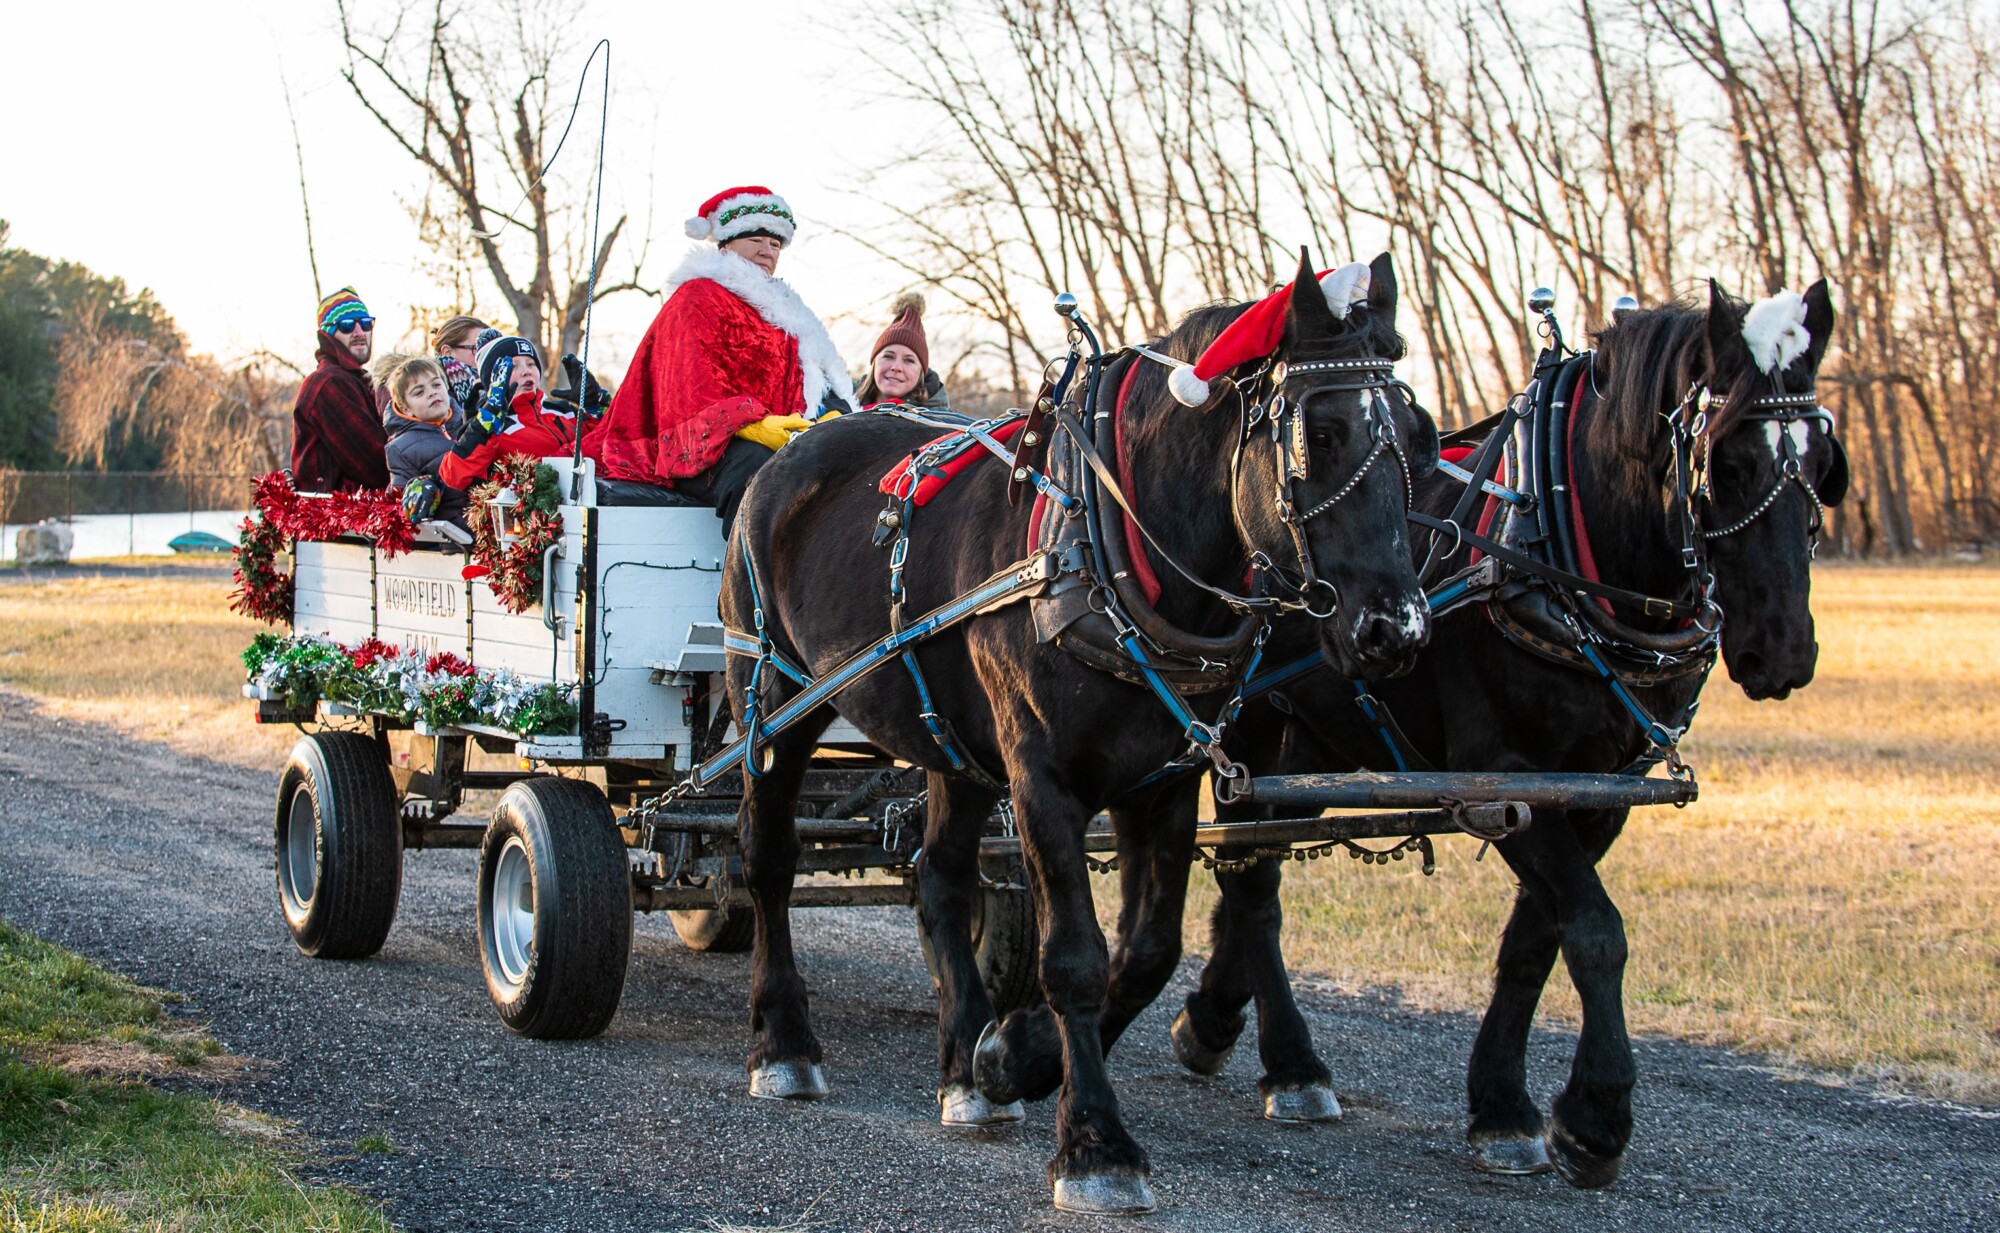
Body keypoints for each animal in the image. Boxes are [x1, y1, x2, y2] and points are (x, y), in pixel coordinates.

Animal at [728, 250, 1448, 1216]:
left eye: (1417, 435)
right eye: (1320, 434)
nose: (1396, 629)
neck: (1111, 554)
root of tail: (793, 451)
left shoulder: (1164, 780)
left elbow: (1146, 950)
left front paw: (1013, 1056)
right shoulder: (1041, 777)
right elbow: (1074, 955)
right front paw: (1095, 1142)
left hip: (950, 742)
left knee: (941, 877)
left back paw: (963, 1063)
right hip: (774, 700)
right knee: (768, 858)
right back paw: (784, 1043)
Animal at [1168, 280, 1840, 1184]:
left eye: (1820, 466)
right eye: (1727, 465)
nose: (1785, 651)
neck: (1563, 551)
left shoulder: (1594, 791)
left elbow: (1536, 940)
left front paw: (1503, 1102)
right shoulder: (1504, 772)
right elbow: (1595, 931)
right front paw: (1594, 1115)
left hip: (1303, 739)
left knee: (1254, 868)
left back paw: (1217, 1017)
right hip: (1245, 730)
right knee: (1253, 885)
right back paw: (1292, 1062)